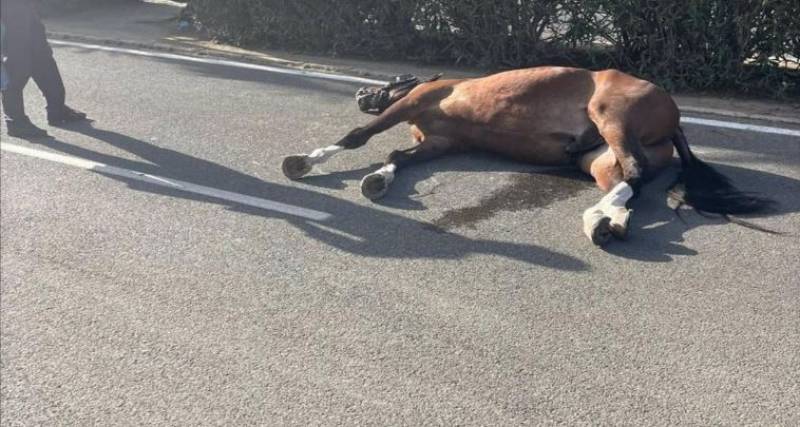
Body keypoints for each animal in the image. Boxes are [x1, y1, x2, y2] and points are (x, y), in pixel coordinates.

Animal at [282, 65, 776, 246]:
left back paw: (598, 220)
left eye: (390, 82)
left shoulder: (413, 104)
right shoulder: (441, 143)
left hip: (611, 117)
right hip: (598, 159)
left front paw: (304, 162)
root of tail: (674, 118)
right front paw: (378, 180)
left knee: (633, 173)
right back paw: (607, 221)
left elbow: (360, 136)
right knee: (627, 183)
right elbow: (399, 155)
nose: (361, 94)